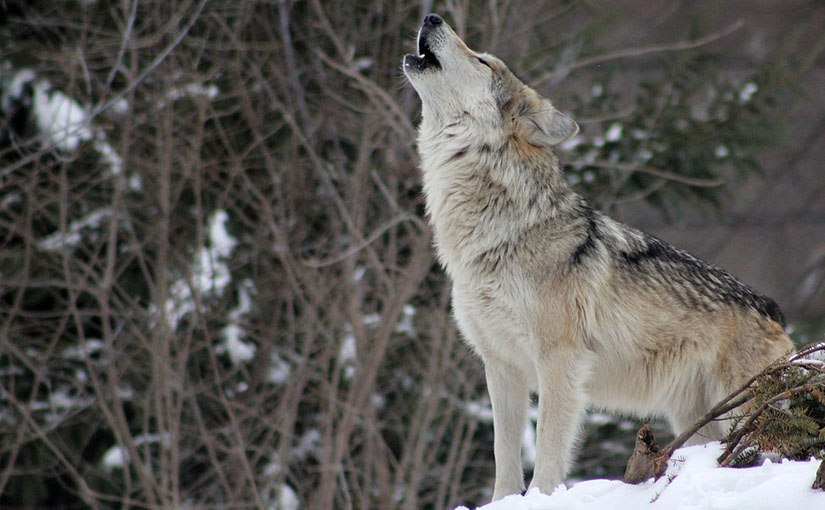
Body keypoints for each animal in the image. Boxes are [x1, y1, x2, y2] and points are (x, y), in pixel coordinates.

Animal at [402, 12, 796, 502]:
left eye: (483, 61)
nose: (431, 16)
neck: (498, 233)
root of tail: (774, 310)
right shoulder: (501, 365)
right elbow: (504, 457)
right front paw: (505, 502)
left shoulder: (560, 360)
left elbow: (548, 450)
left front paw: (542, 498)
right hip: (697, 421)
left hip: (744, 412)